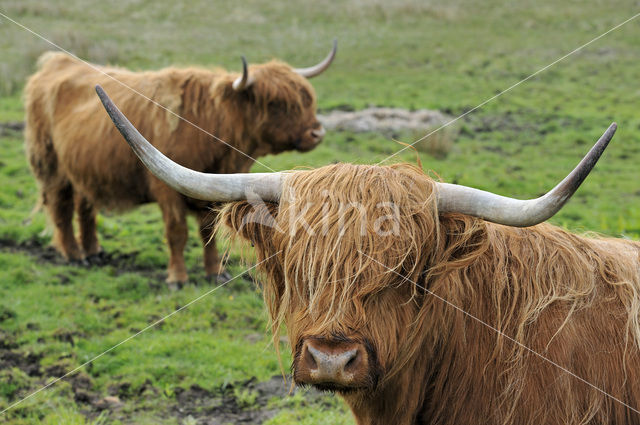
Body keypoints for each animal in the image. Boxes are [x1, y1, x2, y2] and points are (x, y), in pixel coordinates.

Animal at [21, 41, 336, 284]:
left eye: (306, 98)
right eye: (275, 103)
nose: (317, 133)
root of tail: (56, 62)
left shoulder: (212, 188)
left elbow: (208, 231)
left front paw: (214, 273)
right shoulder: (168, 192)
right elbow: (177, 233)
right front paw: (177, 278)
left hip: (85, 171)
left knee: (85, 209)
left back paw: (93, 251)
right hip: (52, 168)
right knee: (61, 209)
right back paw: (75, 256)